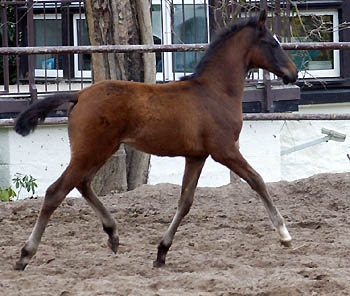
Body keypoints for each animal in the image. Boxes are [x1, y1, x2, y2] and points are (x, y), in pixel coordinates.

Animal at [14, 11, 298, 270]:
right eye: (273, 44)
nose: (293, 74)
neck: (214, 91)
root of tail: (80, 95)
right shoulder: (224, 150)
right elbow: (257, 180)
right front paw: (285, 235)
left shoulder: (196, 156)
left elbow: (185, 202)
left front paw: (161, 253)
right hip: (91, 151)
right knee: (55, 192)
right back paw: (25, 255)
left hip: (100, 151)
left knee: (83, 184)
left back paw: (113, 234)